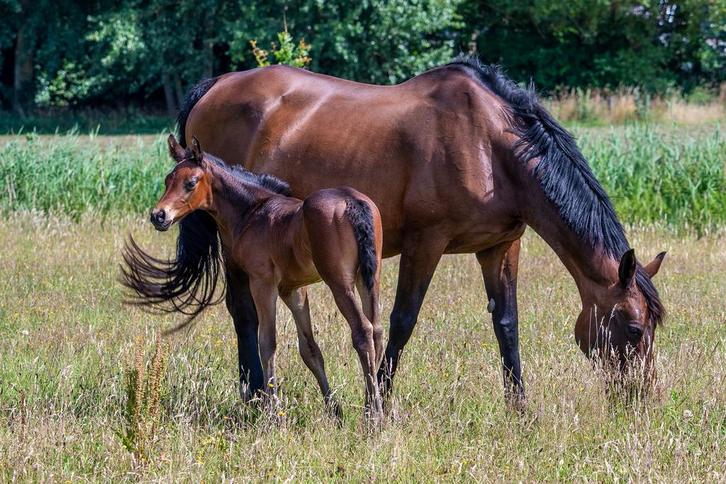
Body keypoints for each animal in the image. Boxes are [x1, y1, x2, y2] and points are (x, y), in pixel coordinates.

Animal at [121, 134, 385, 419]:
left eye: (190, 182)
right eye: (167, 180)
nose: (158, 215)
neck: (252, 212)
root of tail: (353, 202)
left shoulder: (262, 283)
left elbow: (267, 342)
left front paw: (272, 410)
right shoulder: (293, 290)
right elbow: (309, 348)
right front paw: (334, 409)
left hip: (339, 282)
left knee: (362, 330)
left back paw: (374, 413)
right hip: (369, 278)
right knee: (377, 330)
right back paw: (377, 406)